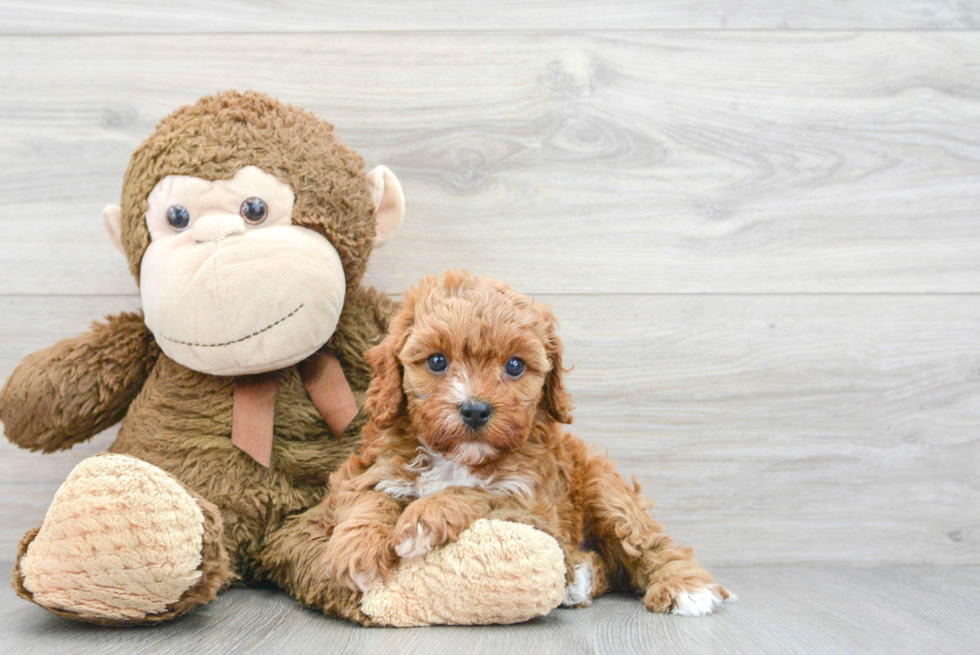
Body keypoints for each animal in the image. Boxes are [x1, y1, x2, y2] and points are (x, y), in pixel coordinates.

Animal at [324, 270, 736, 616]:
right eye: (437, 361)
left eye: (515, 365)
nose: (475, 410)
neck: (457, 458)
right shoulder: (369, 469)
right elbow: (369, 497)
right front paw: (357, 549)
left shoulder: (533, 503)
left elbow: (477, 492)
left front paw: (423, 518)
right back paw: (580, 577)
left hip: (605, 490)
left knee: (646, 541)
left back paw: (683, 586)